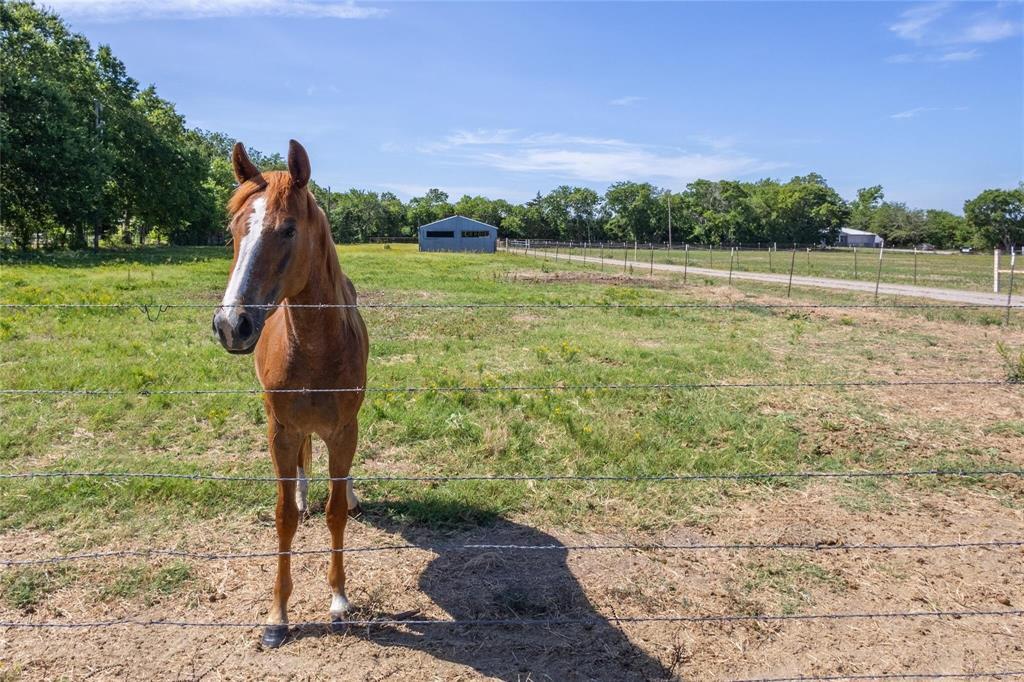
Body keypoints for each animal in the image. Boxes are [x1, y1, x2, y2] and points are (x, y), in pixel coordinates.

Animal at [212, 140, 369, 648]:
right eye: (235, 229)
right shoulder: (279, 431)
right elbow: (284, 517)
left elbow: (335, 513)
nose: (231, 324)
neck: (315, 347)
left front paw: (338, 601)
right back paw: (303, 494)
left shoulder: (343, 430)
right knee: (302, 463)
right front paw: (276, 616)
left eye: (287, 229)